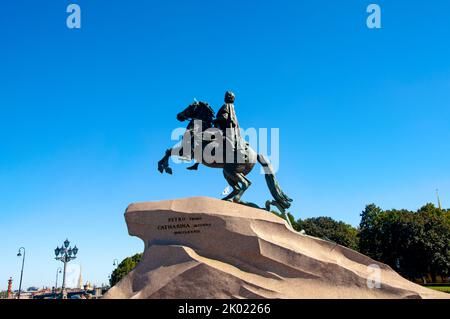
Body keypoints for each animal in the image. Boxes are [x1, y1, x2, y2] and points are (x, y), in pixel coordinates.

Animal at [159, 101, 296, 224]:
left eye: (190, 106)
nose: (179, 115)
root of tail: (255, 154)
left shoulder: (186, 151)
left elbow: (168, 151)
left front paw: (164, 167)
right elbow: (168, 151)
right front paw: (164, 166)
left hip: (232, 171)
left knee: (245, 184)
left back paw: (234, 200)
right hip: (227, 172)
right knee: (238, 187)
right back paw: (228, 200)